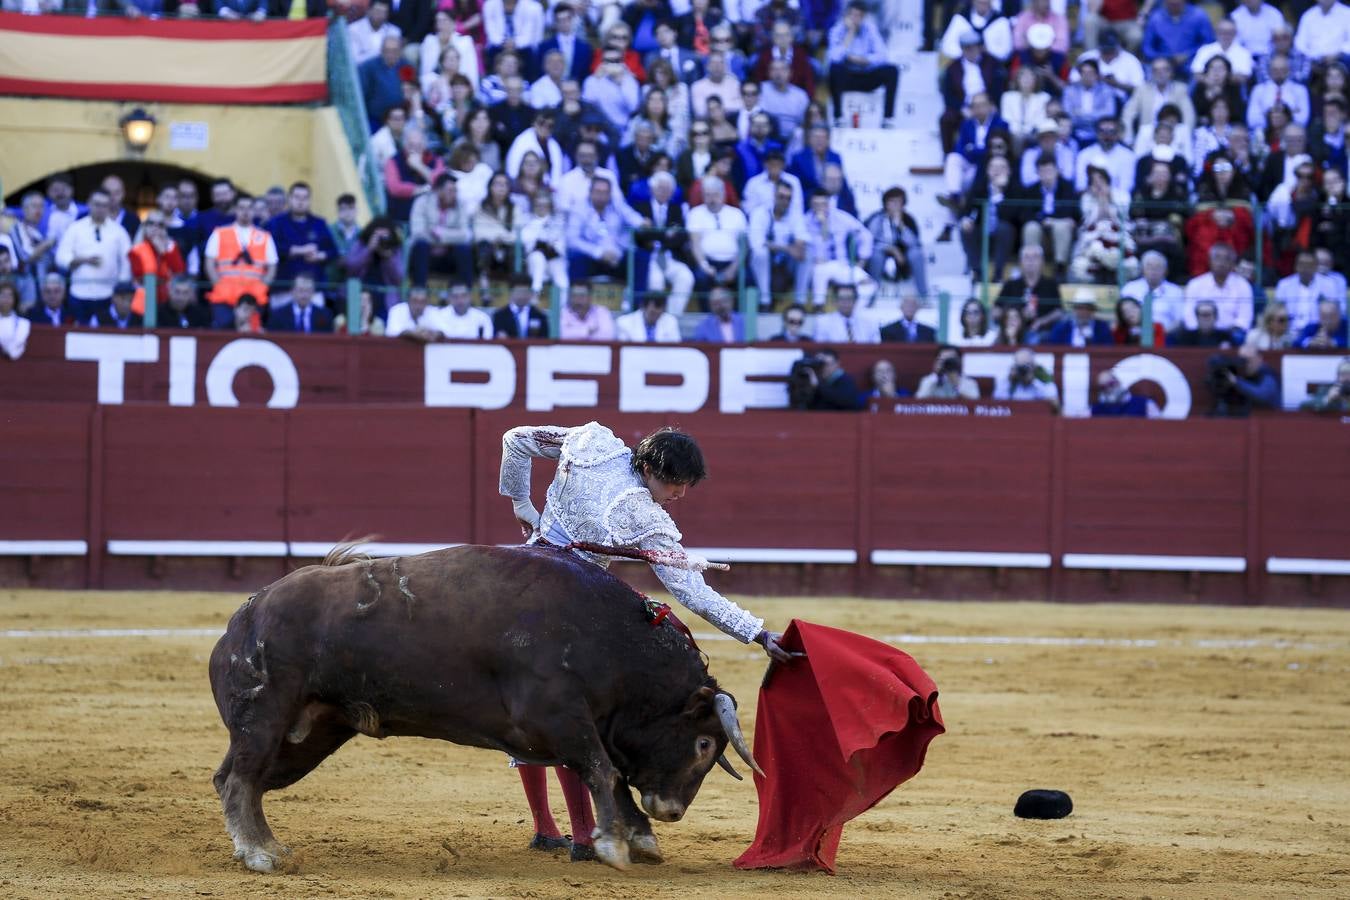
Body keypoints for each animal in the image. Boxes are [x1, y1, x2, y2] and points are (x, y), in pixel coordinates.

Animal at [209, 542, 761, 874]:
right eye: (704, 742)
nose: (671, 811)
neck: (609, 641)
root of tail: (242, 620)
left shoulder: (577, 727)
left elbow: (609, 774)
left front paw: (640, 839)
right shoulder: (556, 715)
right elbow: (603, 770)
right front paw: (612, 845)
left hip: (307, 734)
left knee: (235, 778)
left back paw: (265, 846)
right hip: (265, 717)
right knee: (240, 779)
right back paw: (260, 853)